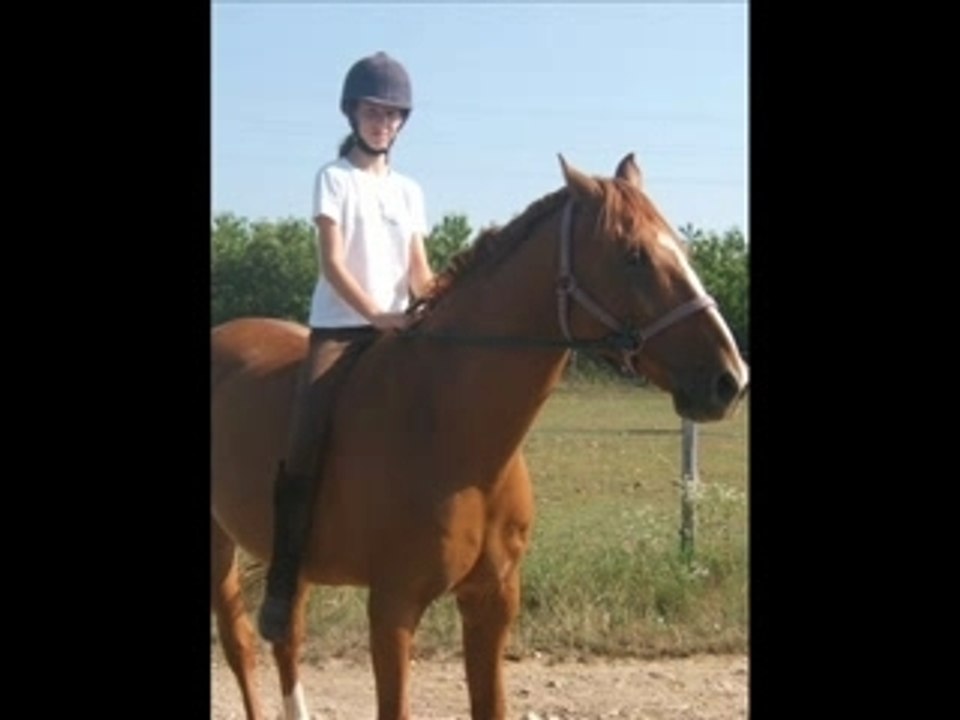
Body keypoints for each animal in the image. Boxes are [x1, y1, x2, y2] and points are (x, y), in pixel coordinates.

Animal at [210, 153, 749, 720]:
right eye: (634, 256)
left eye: (683, 248)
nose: (730, 380)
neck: (451, 428)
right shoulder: (393, 607)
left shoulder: (492, 598)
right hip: (220, 545)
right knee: (241, 642)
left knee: (285, 637)